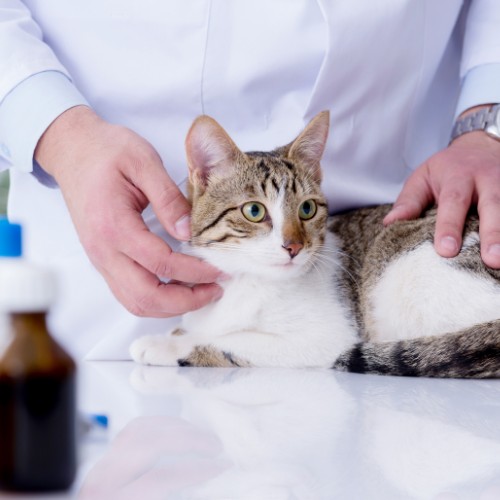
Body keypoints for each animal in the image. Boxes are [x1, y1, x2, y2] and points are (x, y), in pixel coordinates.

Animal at [130, 109, 500, 376]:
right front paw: (175, 335)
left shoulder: (326, 339)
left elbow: (231, 341)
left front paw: (166, 345)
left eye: (306, 209)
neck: (245, 282)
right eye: (254, 211)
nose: (293, 246)